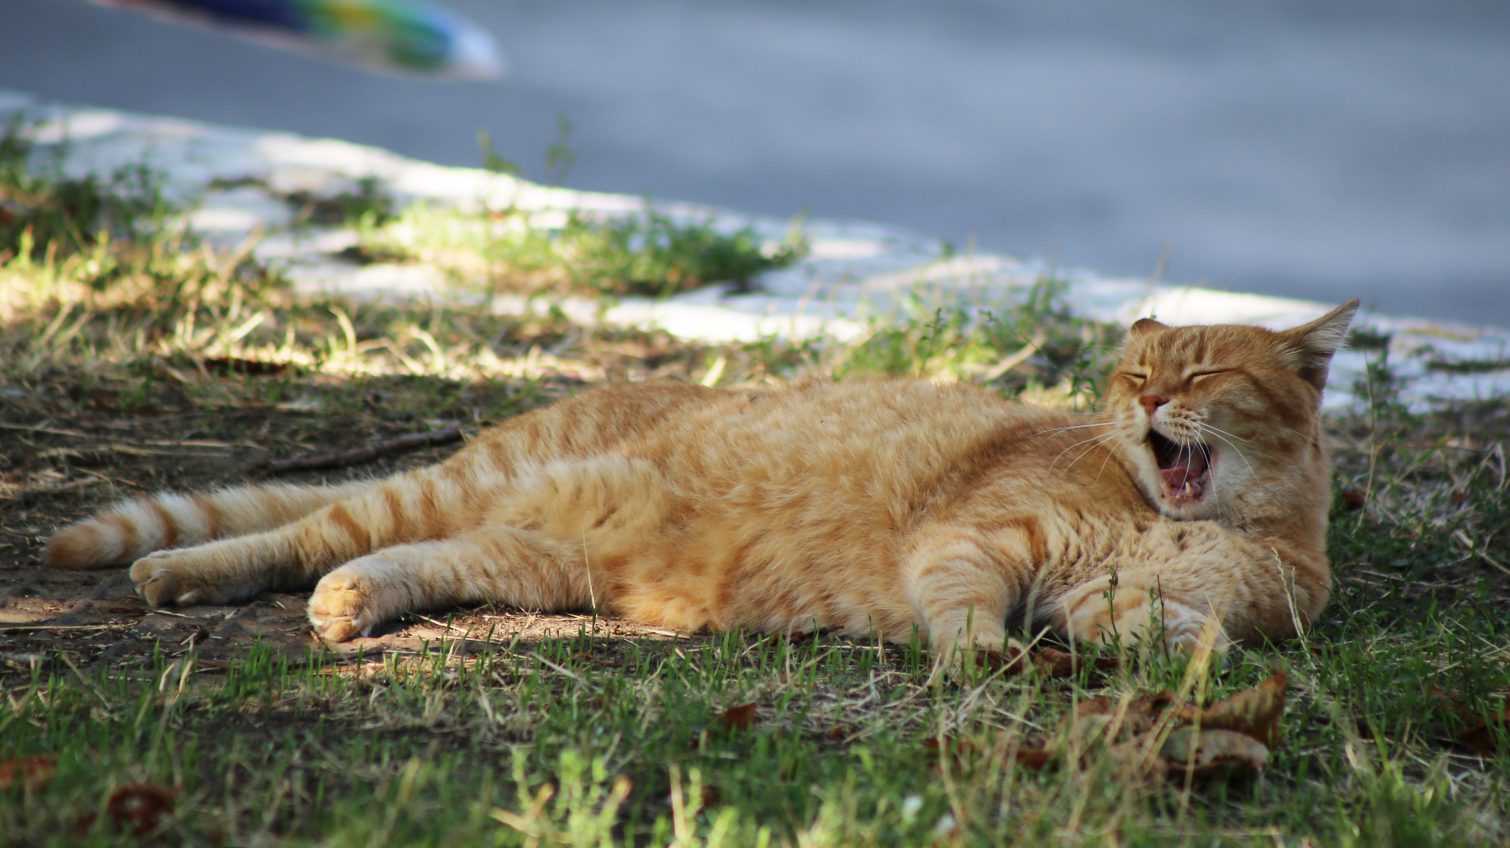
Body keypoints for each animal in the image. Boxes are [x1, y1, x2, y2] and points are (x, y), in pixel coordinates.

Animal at [44, 300, 1359, 663]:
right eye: (1134, 370)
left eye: (1199, 371)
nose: (1143, 404)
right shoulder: (977, 542)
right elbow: (966, 603)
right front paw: (978, 654)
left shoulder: (1108, 596)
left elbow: (1165, 628)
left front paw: (1189, 651)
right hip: (449, 492)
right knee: (307, 525)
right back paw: (177, 572)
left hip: (527, 555)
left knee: (388, 559)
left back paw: (349, 608)